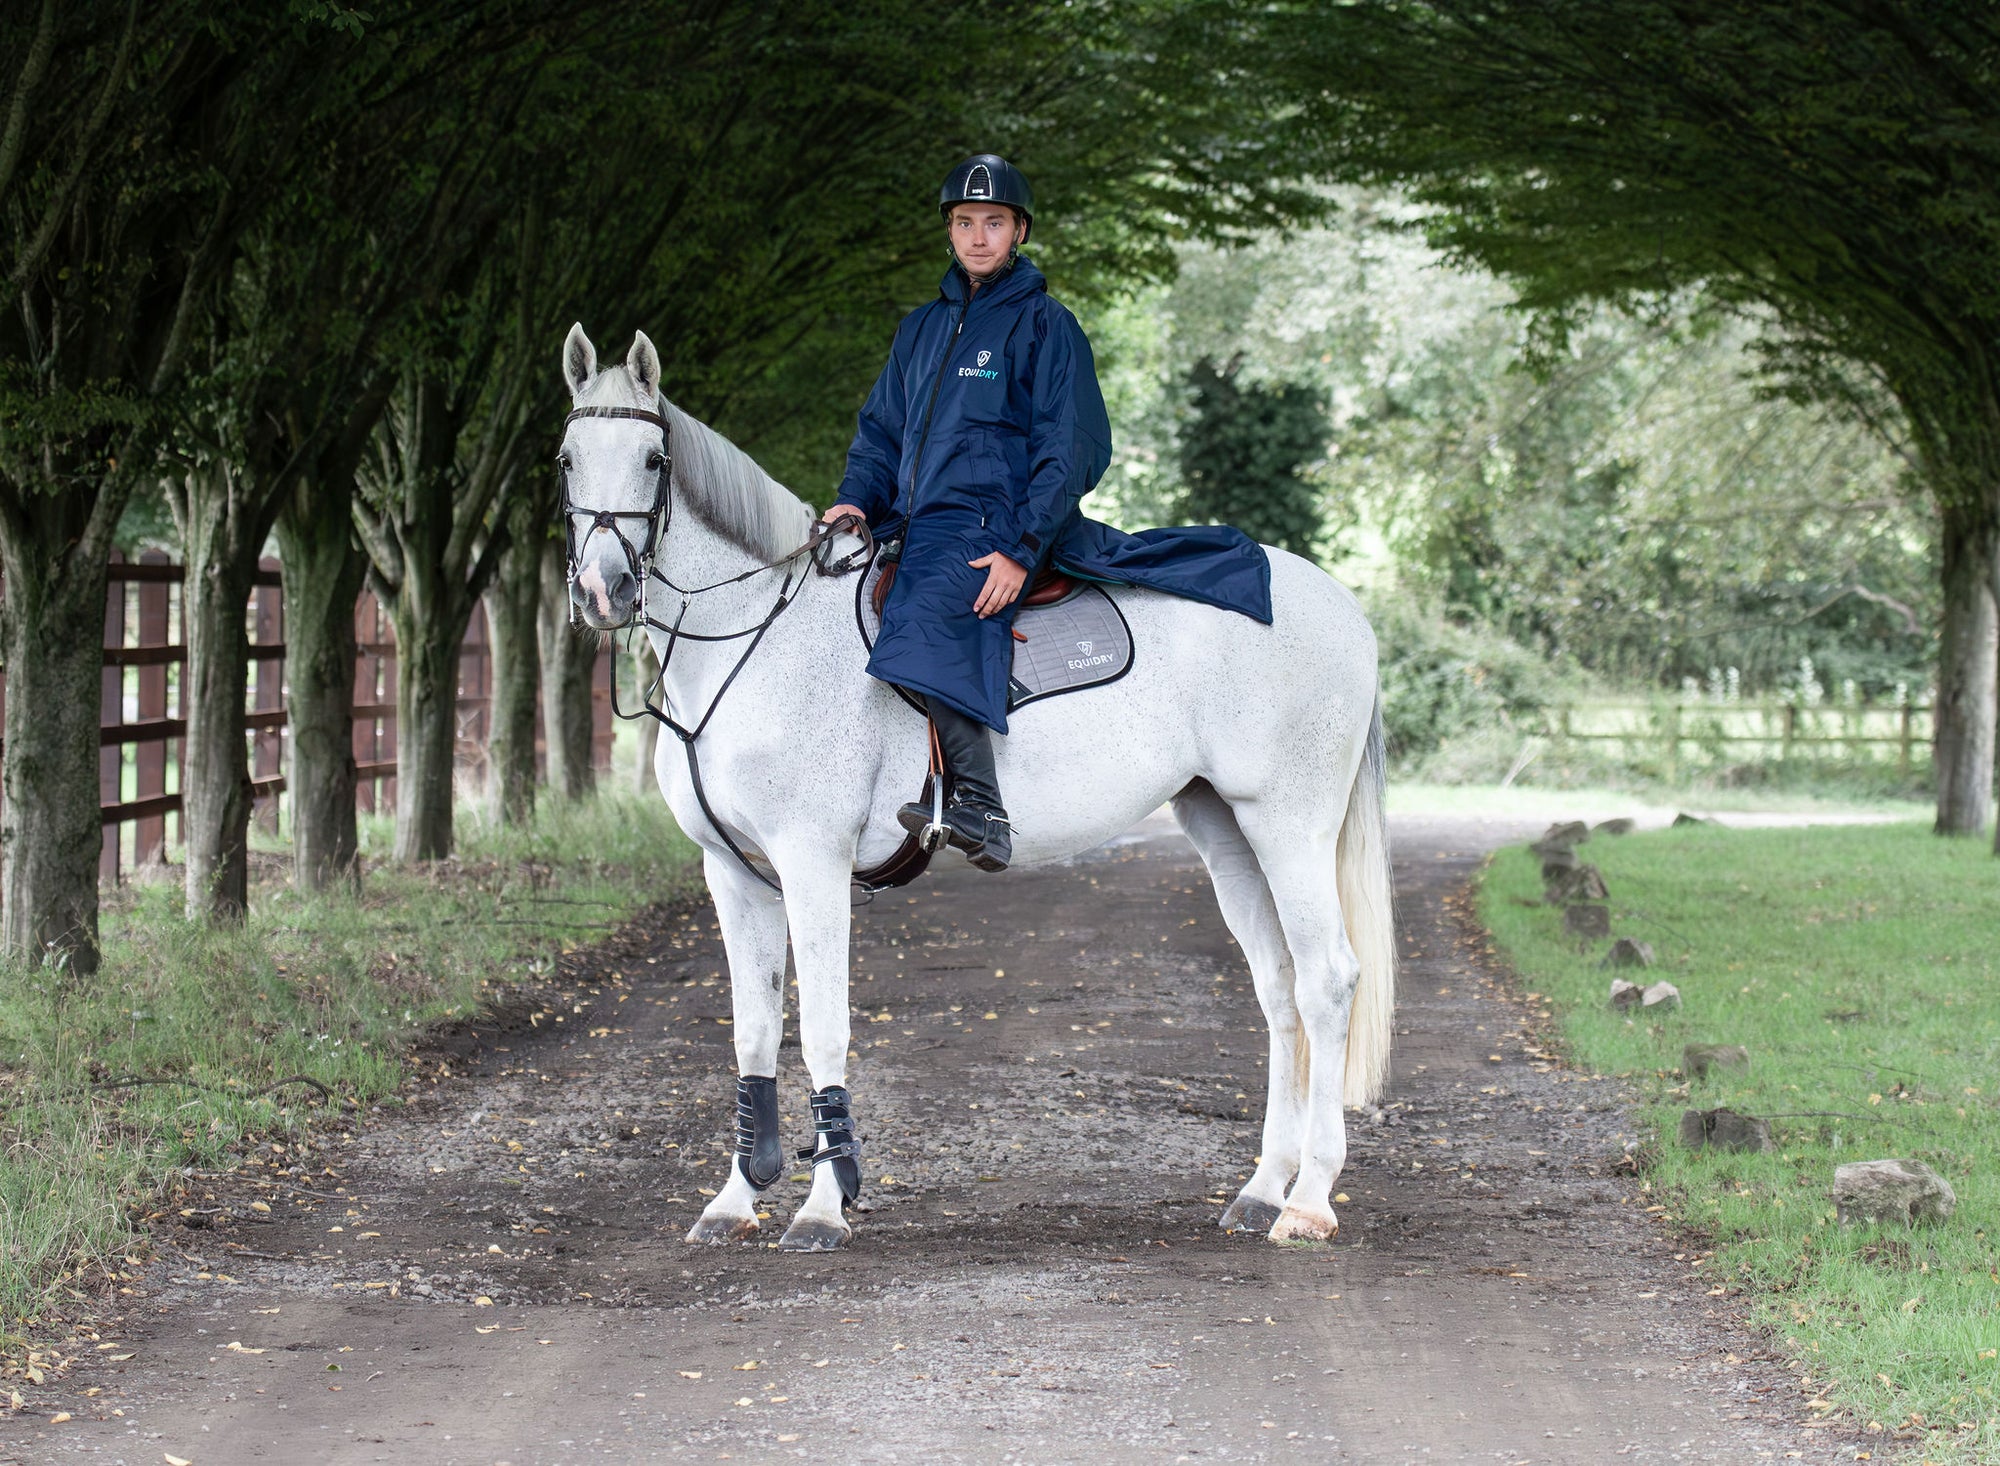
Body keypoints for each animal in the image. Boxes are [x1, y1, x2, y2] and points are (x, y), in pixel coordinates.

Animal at [548, 324, 1392, 1248]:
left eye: (654, 459)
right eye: (566, 459)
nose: (601, 591)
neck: (753, 639)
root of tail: (1342, 607)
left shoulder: (811, 863)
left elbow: (823, 1031)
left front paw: (823, 1204)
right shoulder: (733, 873)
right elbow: (754, 1032)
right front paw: (737, 1196)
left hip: (1289, 825)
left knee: (1327, 980)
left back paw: (1309, 1198)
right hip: (1227, 828)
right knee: (1280, 987)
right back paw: (1264, 1187)